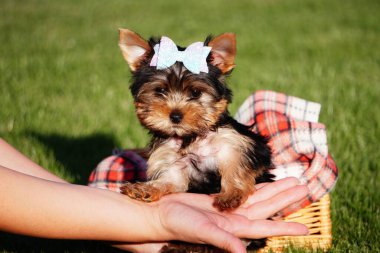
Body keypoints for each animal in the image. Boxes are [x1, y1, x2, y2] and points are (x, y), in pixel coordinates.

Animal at [119, 28, 274, 212]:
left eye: (195, 92)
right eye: (160, 90)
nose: (175, 116)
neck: (191, 136)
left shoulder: (238, 143)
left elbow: (236, 166)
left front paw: (231, 194)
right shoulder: (172, 162)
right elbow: (169, 181)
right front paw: (145, 189)